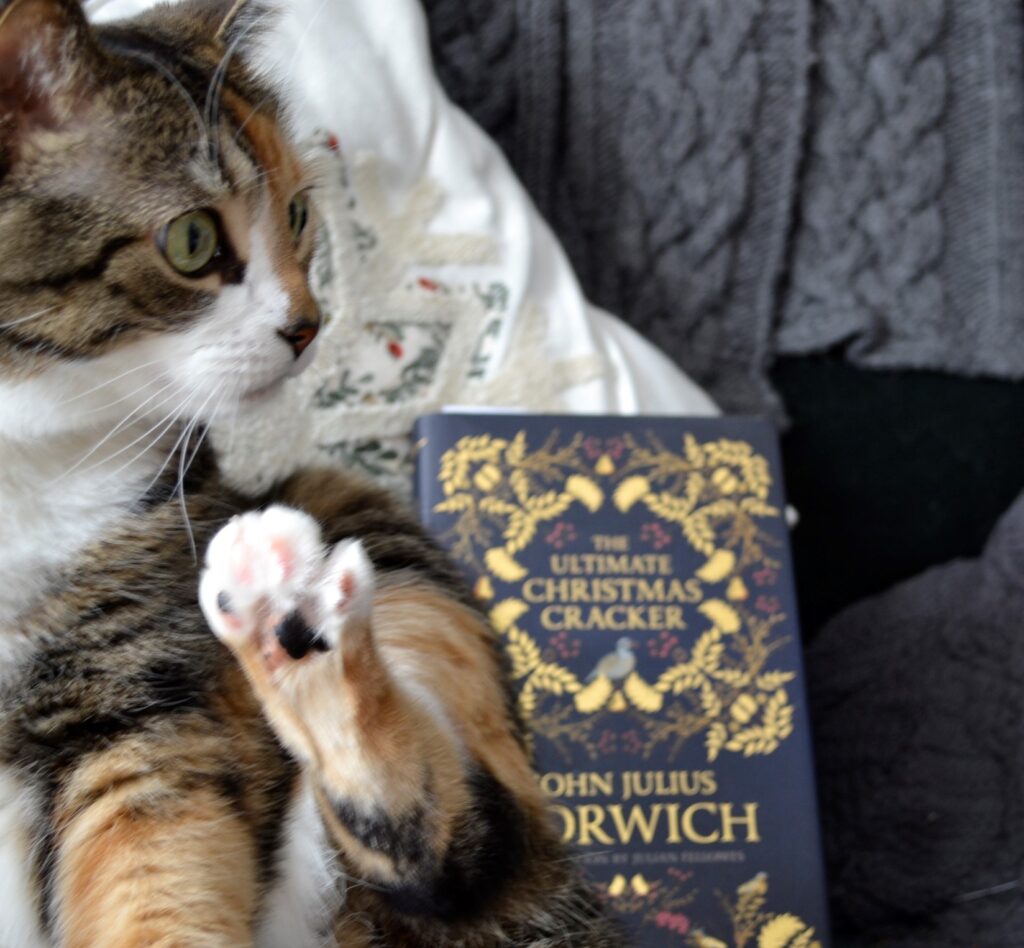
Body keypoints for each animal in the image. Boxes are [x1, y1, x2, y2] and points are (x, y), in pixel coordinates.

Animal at [0, 0, 618, 945]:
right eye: (191, 240)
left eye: (296, 215)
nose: (309, 324)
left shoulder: (137, 706)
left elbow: (158, 881)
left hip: (358, 515)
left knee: (469, 844)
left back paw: (292, 625)